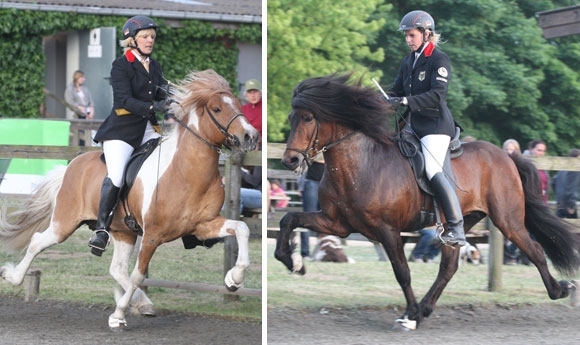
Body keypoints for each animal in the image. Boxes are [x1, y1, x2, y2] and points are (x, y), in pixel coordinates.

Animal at [0, 68, 258, 330]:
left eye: (238, 104)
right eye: (216, 108)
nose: (250, 136)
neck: (186, 172)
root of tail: (72, 165)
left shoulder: (202, 225)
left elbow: (242, 228)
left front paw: (234, 279)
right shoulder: (153, 235)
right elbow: (138, 275)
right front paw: (118, 315)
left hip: (123, 231)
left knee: (116, 269)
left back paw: (142, 302)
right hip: (65, 223)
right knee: (37, 242)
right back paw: (12, 276)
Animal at [274, 73, 580, 330]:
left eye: (308, 118)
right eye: (291, 116)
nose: (290, 160)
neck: (361, 164)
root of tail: (506, 155)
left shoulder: (387, 230)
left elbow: (402, 272)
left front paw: (408, 315)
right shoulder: (337, 223)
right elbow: (289, 219)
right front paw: (294, 263)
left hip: (508, 219)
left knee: (535, 250)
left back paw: (561, 289)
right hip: (462, 222)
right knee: (449, 266)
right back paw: (425, 308)